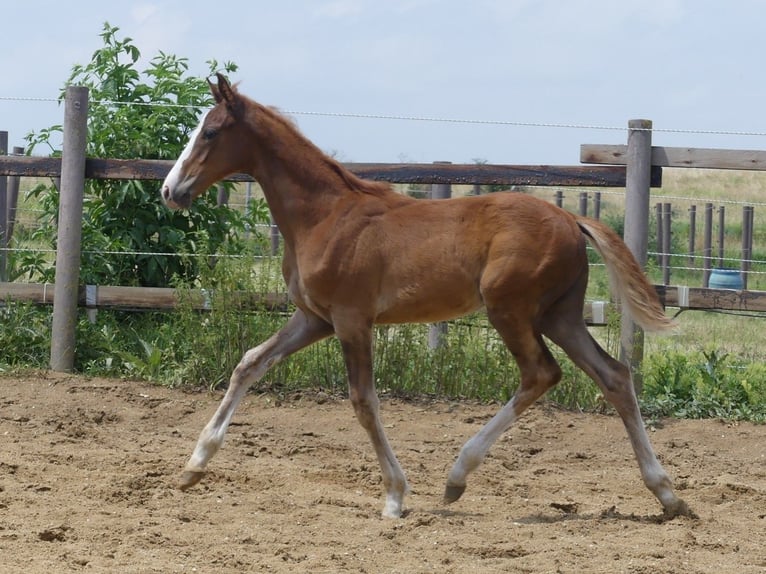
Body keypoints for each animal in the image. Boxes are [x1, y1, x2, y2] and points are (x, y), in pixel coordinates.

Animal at [161, 73, 692, 520]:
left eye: (210, 133)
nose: (170, 191)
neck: (324, 216)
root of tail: (570, 218)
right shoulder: (315, 318)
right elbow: (250, 363)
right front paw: (193, 467)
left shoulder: (351, 319)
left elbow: (363, 401)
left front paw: (395, 496)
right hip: (558, 315)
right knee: (614, 375)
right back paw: (667, 494)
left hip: (510, 309)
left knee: (541, 373)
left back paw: (457, 476)